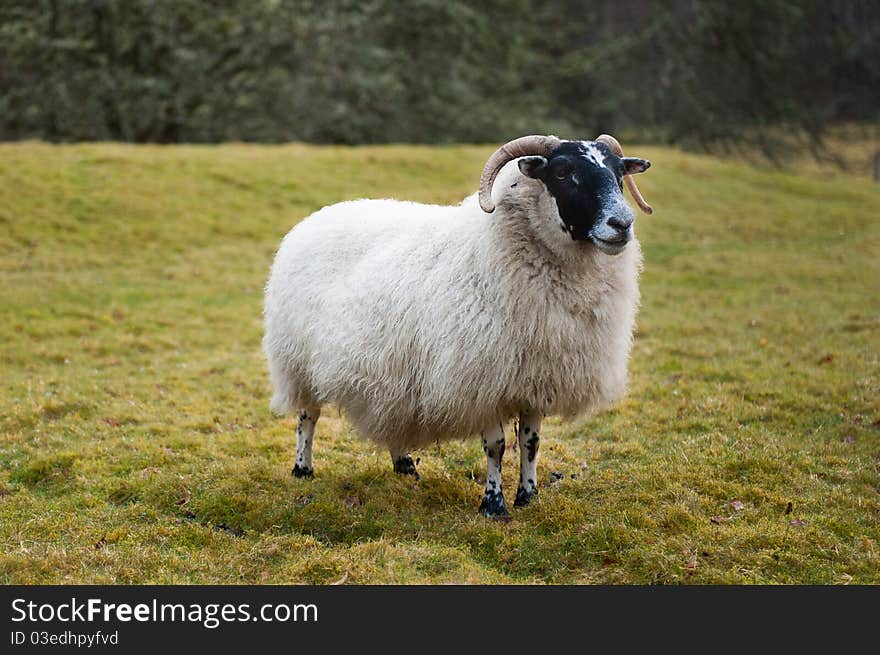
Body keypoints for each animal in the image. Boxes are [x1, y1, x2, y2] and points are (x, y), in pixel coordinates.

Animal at [264, 135, 656, 516]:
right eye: (562, 172)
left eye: (619, 173)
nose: (622, 224)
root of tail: (321, 215)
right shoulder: (481, 376)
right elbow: (496, 446)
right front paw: (493, 504)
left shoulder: (534, 375)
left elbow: (530, 443)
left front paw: (528, 496)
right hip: (297, 358)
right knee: (308, 416)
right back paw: (303, 468)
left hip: (387, 366)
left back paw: (404, 465)